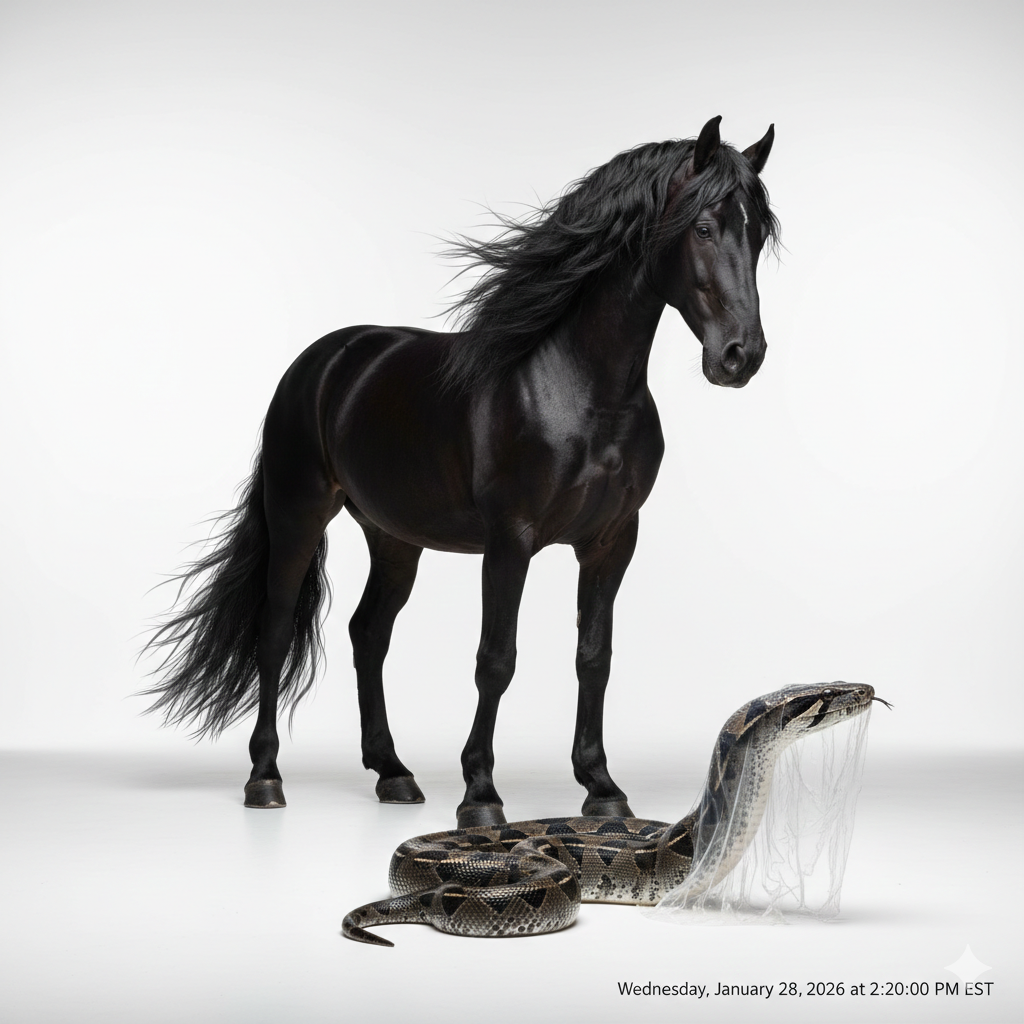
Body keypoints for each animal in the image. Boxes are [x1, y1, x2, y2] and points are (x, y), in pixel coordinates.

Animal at [143, 115, 780, 829]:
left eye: (757, 233)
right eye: (704, 228)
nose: (741, 356)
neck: (580, 389)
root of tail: (325, 360)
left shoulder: (612, 542)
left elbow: (594, 657)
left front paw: (601, 788)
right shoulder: (511, 540)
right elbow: (495, 660)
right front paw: (481, 795)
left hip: (394, 538)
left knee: (368, 633)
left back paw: (393, 773)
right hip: (297, 513)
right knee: (276, 630)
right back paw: (265, 777)